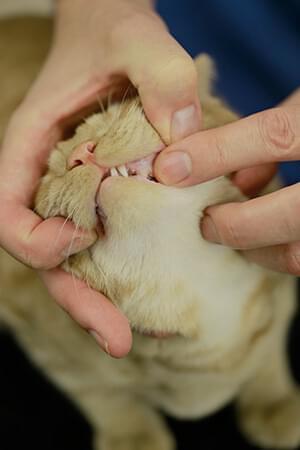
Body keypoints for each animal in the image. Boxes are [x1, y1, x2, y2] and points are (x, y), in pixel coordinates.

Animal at [0, 15, 300, 448]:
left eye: (105, 123)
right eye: (55, 173)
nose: (81, 155)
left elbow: (269, 351)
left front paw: (273, 400)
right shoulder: (42, 334)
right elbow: (100, 393)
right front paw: (133, 436)